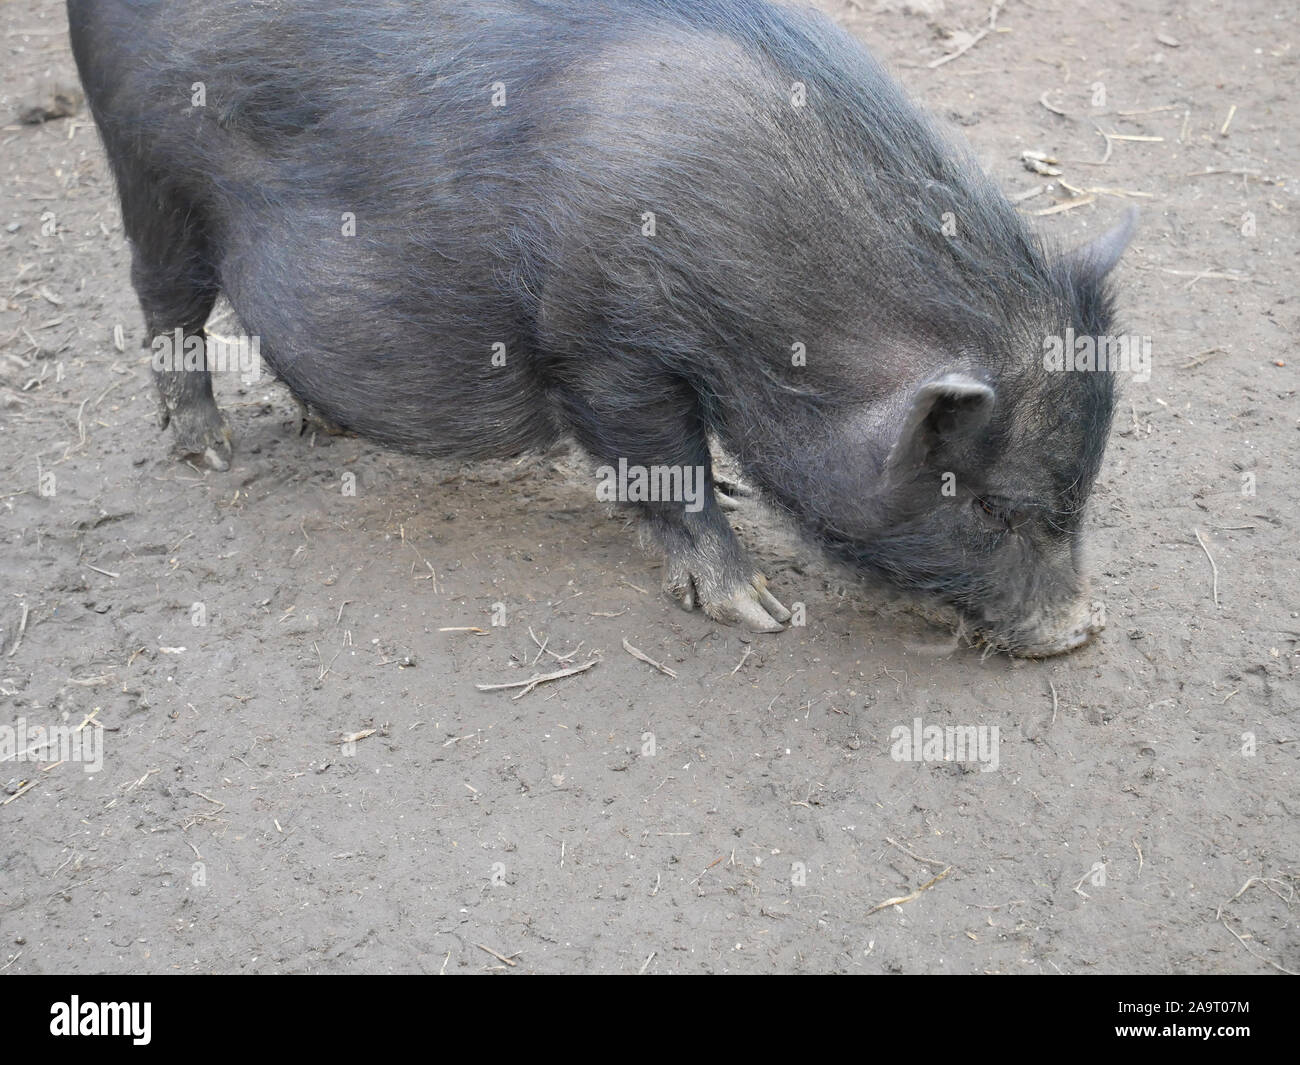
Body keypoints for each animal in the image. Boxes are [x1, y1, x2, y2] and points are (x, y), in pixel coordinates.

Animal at [67, 0, 1135, 657]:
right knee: (165, 308)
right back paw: (207, 454)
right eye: (990, 505)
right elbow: (666, 463)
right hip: (150, 182)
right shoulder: (602, 346)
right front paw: (762, 613)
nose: (1082, 632)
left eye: (1079, 498)